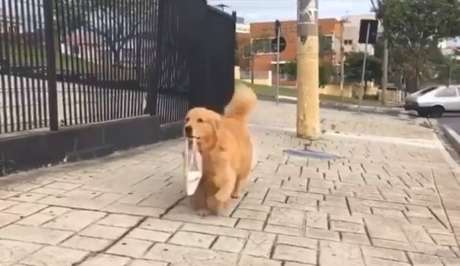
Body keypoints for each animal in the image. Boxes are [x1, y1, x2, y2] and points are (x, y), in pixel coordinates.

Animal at [183, 86, 255, 215]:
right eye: (187, 119)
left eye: (200, 120)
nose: (187, 128)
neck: (206, 151)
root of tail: (236, 119)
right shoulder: (200, 178)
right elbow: (200, 194)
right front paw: (202, 209)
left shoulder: (225, 170)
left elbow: (225, 184)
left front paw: (218, 201)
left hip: (243, 165)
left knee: (238, 180)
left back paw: (235, 193)